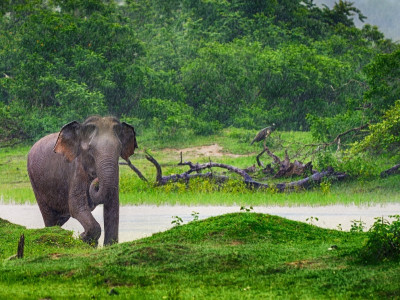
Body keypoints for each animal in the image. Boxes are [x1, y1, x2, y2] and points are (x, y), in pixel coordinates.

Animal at [27, 116, 138, 245]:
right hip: (35, 181)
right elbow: (76, 206)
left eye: (119, 149)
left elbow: (113, 206)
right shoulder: (76, 170)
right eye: (90, 149)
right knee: (49, 217)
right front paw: (82, 237)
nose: (96, 180)